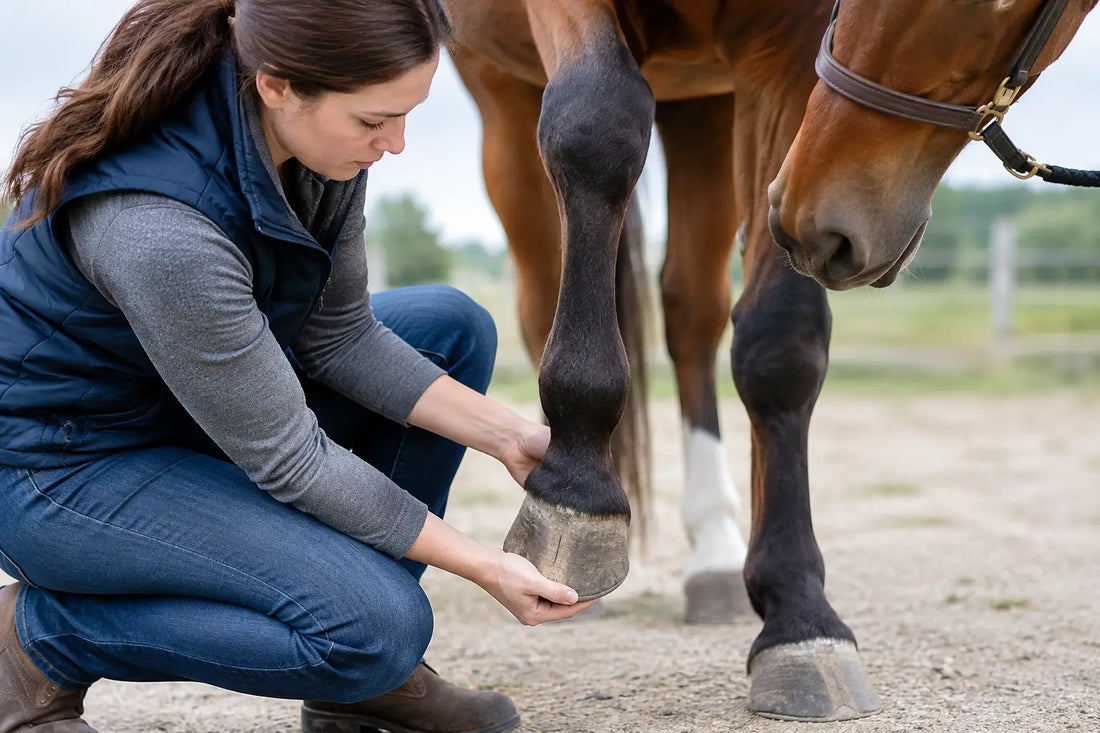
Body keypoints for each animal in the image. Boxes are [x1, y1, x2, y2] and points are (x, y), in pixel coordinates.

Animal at [444, 0, 1095, 721]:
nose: (821, 217)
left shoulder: (794, 59)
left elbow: (778, 348)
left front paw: (799, 618)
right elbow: (597, 128)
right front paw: (573, 496)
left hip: (706, 113)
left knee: (690, 311)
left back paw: (715, 556)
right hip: (501, 92)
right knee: (542, 290)